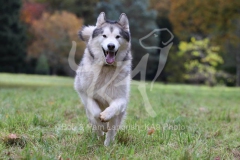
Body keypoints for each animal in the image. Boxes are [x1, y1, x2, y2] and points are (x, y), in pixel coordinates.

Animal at [74, 11, 132, 146]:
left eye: (117, 36)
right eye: (104, 35)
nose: (111, 46)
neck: (106, 68)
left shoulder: (121, 98)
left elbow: (114, 107)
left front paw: (105, 116)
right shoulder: (84, 92)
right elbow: (95, 112)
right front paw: (102, 125)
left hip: (118, 117)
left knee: (112, 129)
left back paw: (107, 145)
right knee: (95, 124)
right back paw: (100, 134)